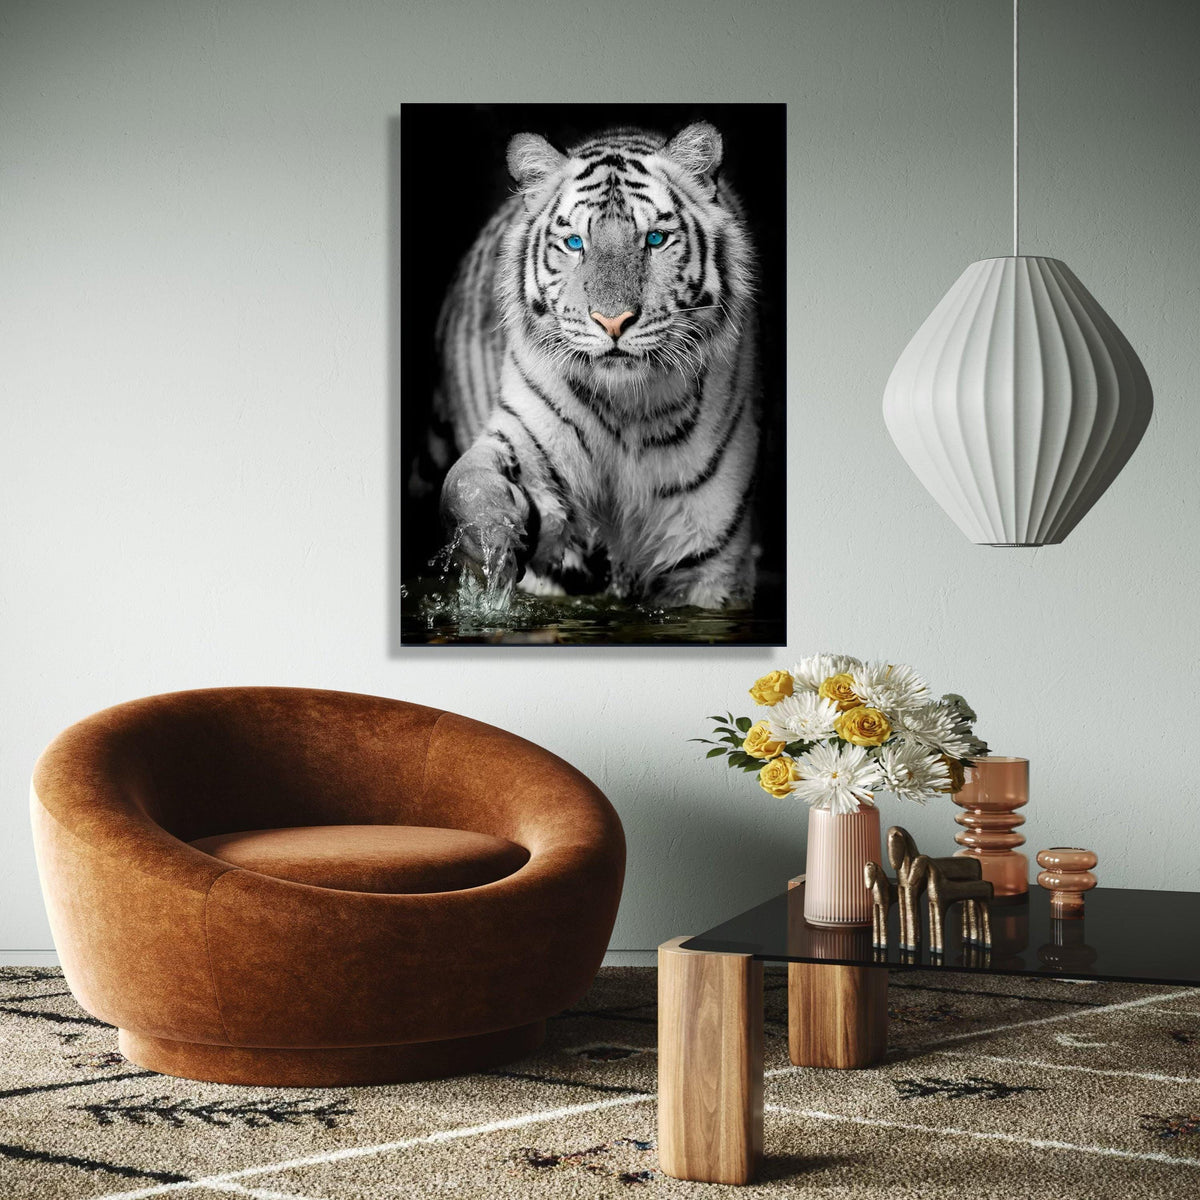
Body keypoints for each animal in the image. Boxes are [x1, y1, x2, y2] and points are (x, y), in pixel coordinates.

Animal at [424, 121, 760, 608]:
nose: (613, 321)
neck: (627, 409)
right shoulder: (525, 439)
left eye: (655, 239)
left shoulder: (710, 560)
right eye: (574, 243)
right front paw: (492, 544)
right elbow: (466, 483)